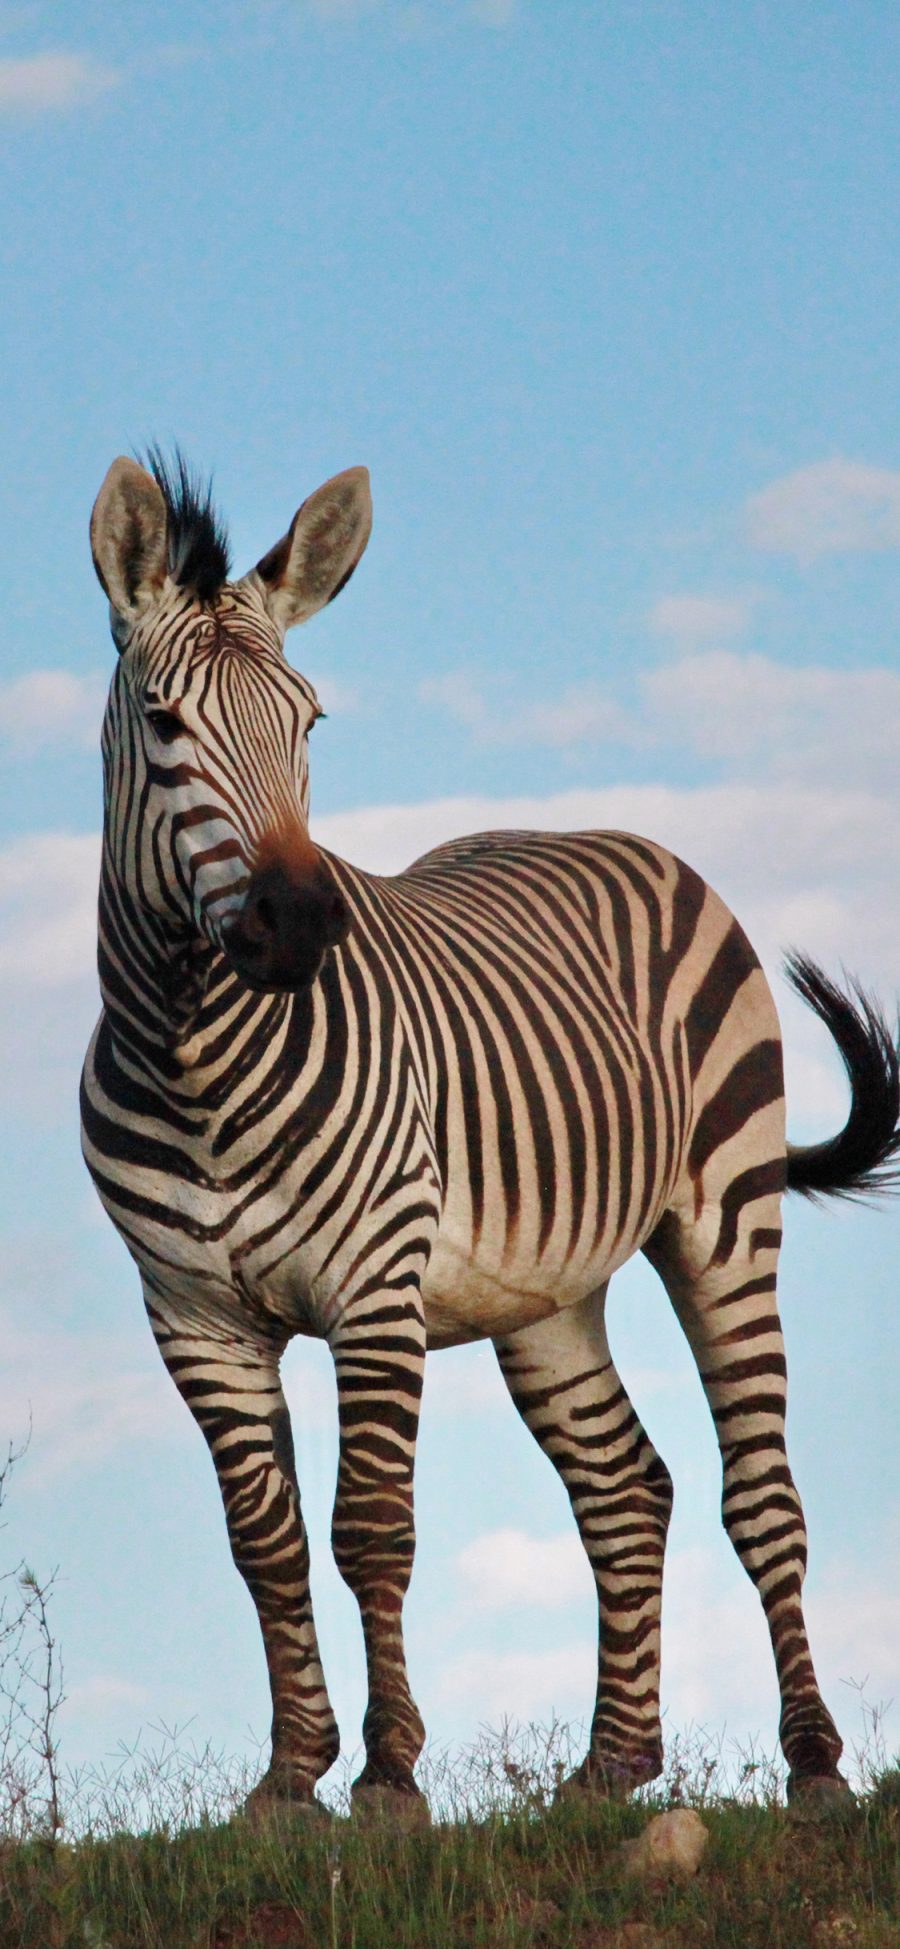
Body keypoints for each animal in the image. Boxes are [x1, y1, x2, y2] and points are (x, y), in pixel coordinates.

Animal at [80, 448, 896, 1816]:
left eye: (309, 724)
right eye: (164, 723)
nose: (302, 922)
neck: (196, 1056)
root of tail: (607, 833)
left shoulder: (372, 1288)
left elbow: (369, 1528)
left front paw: (389, 1777)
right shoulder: (191, 1314)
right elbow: (266, 1542)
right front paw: (288, 1779)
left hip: (726, 1213)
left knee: (760, 1494)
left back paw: (816, 1761)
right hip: (545, 1294)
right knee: (626, 1486)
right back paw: (613, 1762)